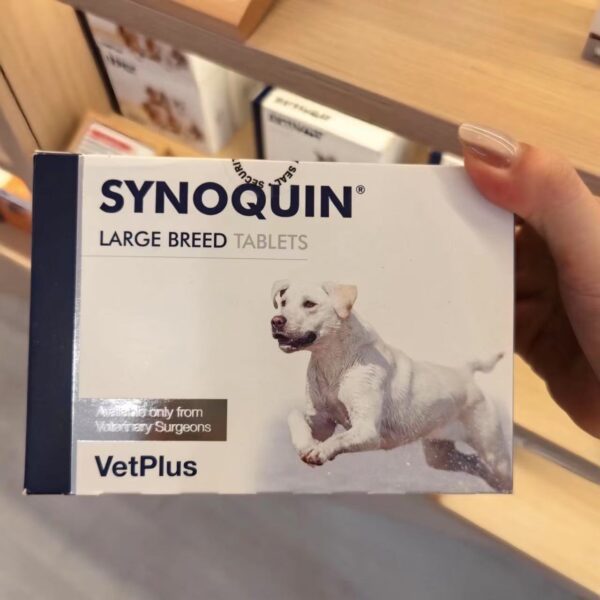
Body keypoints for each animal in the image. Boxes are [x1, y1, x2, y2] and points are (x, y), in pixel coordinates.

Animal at [270, 279, 511, 491]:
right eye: (283, 302)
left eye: (309, 304)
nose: (276, 321)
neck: (334, 363)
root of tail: (465, 372)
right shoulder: (322, 421)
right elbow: (294, 416)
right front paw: (307, 445)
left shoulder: (367, 429)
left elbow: (339, 437)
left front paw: (320, 452)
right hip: (440, 455)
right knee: (474, 463)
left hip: (492, 451)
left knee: (496, 469)